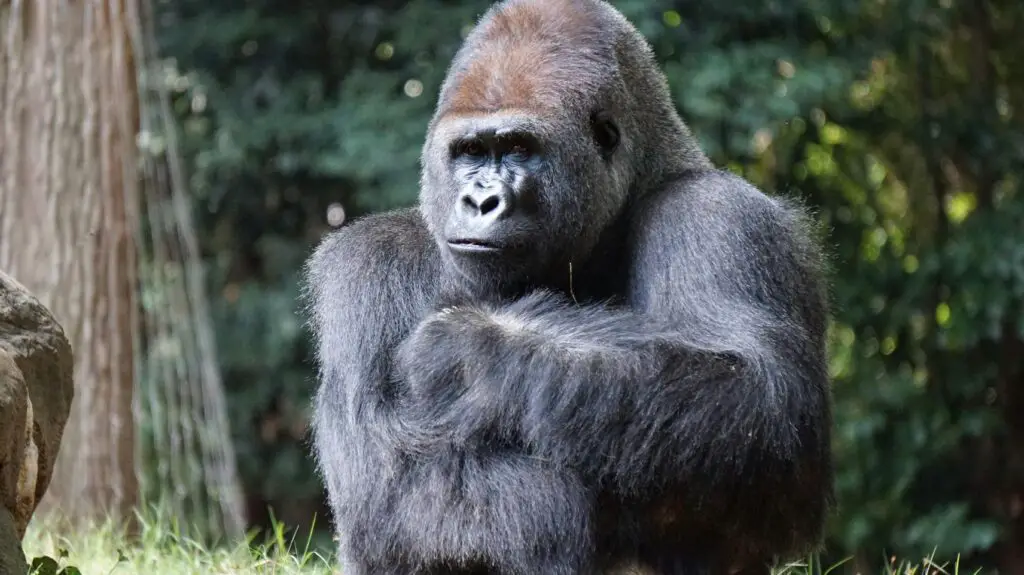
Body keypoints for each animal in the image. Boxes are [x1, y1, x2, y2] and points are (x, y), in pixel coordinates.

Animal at [301, 1, 831, 572]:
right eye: (470, 151)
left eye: (518, 148)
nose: (480, 201)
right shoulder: (370, 263)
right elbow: (392, 478)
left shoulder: (719, 216)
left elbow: (762, 400)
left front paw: (471, 345)